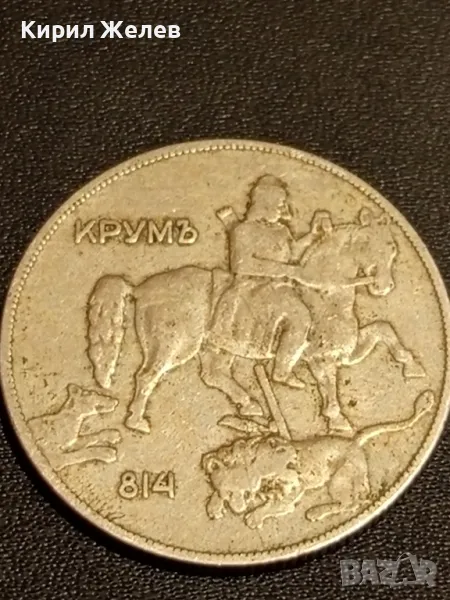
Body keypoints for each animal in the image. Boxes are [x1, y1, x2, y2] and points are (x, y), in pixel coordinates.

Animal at [86, 207, 424, 434]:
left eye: (394, 250)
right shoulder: (319, 357)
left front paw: (412, 367)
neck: (326, 292)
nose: (385, 287)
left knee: (213, 375)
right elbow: (329, 384)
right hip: (175, 345)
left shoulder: (343, 350)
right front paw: (338, 420)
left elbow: (384, 330)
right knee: (146, 376)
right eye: (377, 246)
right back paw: (136, 421)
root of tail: (140, 287)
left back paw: (250, 405)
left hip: (216, 347)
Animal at [202, 390, 434, 529]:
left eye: (242, 493)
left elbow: (275, 506)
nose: (237, 510)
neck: (256, 466)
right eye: (227, 493)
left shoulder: (292, 488)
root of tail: (353, 441)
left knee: (350, 503)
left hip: (340, 479)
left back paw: (316, 511)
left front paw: (254, 517)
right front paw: (214, 506)